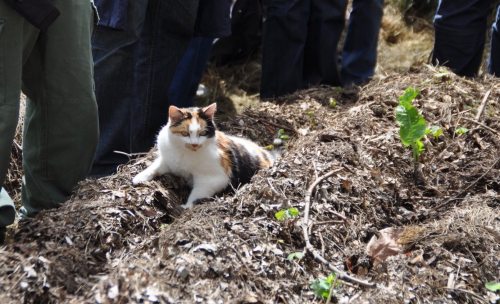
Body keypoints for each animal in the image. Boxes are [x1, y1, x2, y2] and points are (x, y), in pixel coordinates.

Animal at [132, 103, 278, 208]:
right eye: (185, 134)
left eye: (202, 133)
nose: (194, 144)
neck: (184, 152)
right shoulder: (168, 160)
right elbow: (154, 168)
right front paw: (139, 178)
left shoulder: (212, 179)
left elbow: (197, 194)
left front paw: (186, 207)